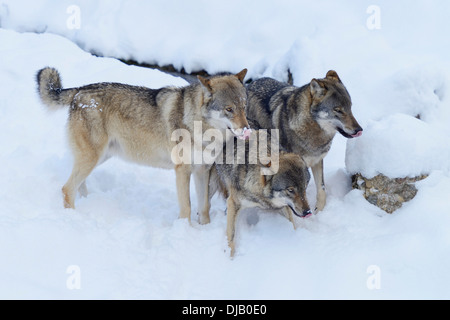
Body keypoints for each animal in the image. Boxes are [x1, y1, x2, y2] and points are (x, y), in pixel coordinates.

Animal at [36, 66, 250, 224]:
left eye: (244, 107)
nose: (248, 129)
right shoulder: (182, 171)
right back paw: (74, 218)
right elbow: (187, 208)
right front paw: (186, 231)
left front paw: (204, 229)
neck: (201, 127)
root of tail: (80, 90)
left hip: (99, 157)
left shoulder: (203, 170)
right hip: (92, 158)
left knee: (78, 185)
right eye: (229, 109)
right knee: (67, 189)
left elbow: (204, 207)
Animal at [210, 128, 310, 258]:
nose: (308, 212)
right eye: (291, 190)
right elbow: (231, 237)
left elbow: (292, 223)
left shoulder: (284, 205)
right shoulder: (233, 203)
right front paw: (229, 258)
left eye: (304, 187)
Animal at [246, 71, 362, 214]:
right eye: (338, 110)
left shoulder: (317, 161)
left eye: (350, 107)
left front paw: (319, 211)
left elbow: (321, 189)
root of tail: (250, 84)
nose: (359, 130)